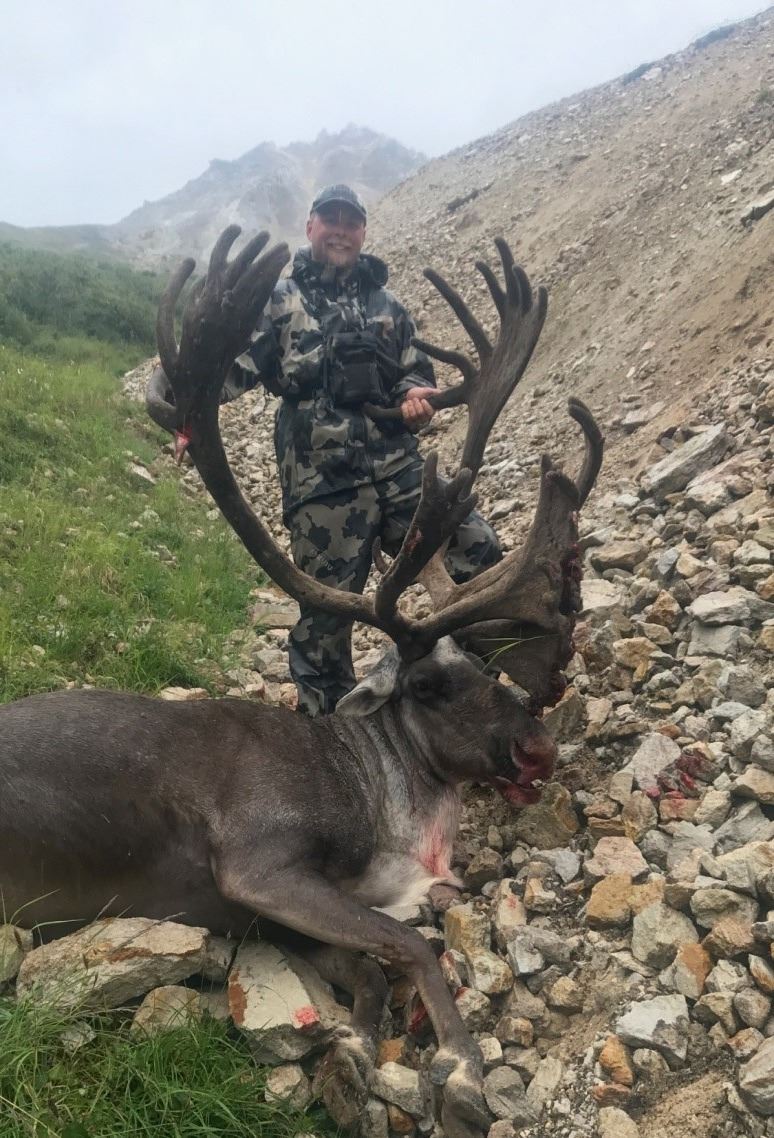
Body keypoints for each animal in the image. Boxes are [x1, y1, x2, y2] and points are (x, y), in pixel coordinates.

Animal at [0, 227, 602, 1138]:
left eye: (485, 666)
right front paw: (459, 1068)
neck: (383, 796)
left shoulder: (267, 908)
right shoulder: (258, 869)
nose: (538, 749)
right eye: (429, 685)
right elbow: (412, 945)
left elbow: (371, 966)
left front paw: (354, 1049)